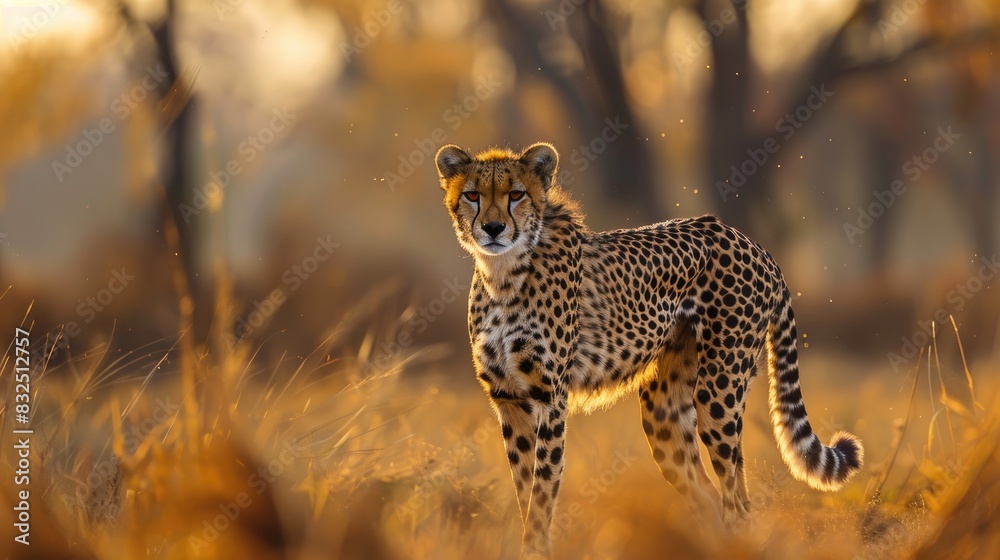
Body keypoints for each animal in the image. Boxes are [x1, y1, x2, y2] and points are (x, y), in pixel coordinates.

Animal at [434, 142, 864, 558]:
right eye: (472, 195)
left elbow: (542, 491)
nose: (493, 228)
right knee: (708, 497)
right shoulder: (509, 399)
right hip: (664, 414)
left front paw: (535, 548)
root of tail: (752, 243)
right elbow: (526, 491)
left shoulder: (549, 399)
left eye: (516, 194)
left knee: (737, 502)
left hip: (719, 392)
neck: (503, 274)